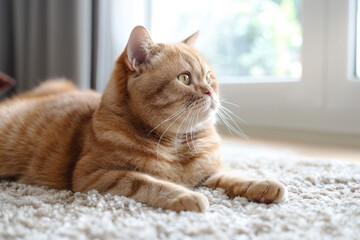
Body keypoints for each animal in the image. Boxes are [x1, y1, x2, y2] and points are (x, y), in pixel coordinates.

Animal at [0, 25, 286, 211]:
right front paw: (185, 196)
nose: (210, 90)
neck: (177, 144)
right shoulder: (94, 175)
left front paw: (263, 183)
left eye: (209, 77)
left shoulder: (207, 174)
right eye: (185, 78)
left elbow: (232, 176)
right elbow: (148, 181)